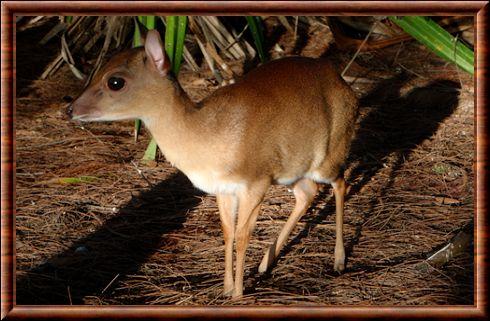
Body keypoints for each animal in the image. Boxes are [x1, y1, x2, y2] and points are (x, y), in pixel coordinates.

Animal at [67, 30, 358, 298]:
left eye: (115, 81)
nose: (70, 109)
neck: (206, 134)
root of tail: (339, 78)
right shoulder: (224, 188)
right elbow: (228, 232)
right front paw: (227, 289)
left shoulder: (255, 182)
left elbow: (242, 236)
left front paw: (239, 294)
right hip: (292, 170)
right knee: (307, 193)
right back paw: (265, 263)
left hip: (330, 153)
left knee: (340, 184)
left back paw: (338, 261)